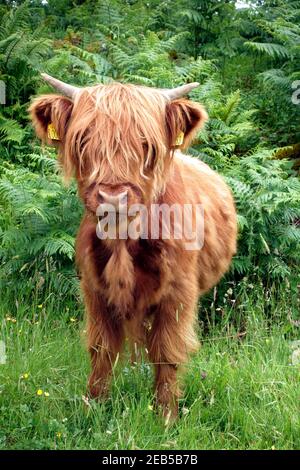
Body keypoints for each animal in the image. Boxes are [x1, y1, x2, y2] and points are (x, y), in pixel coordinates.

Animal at [29, 75, 237, 420]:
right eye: (83, 141)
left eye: (146, 145)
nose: (113, 198)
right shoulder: (94, 289)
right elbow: (101, 348)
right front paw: (95, 406)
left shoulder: (179, 293)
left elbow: (167, 350)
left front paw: (166, 416)